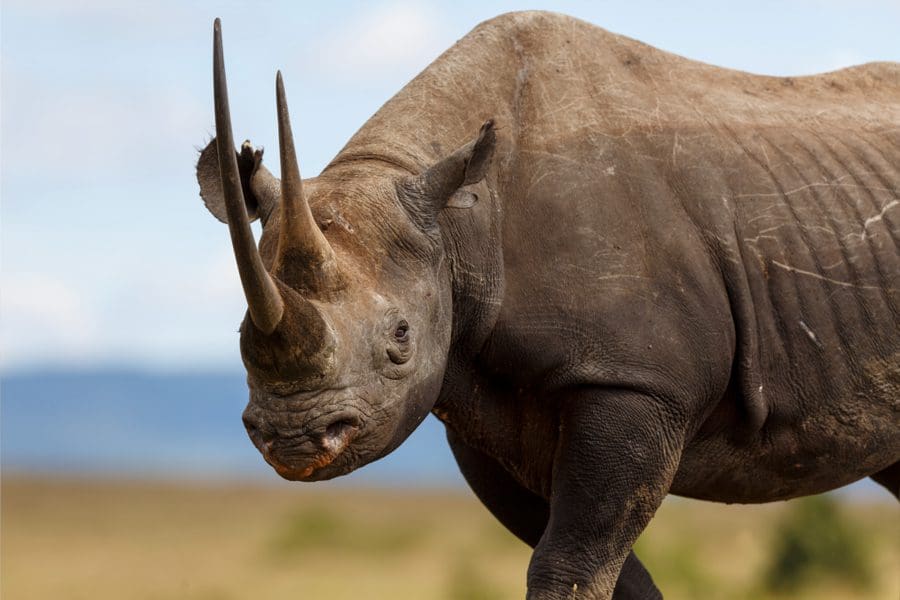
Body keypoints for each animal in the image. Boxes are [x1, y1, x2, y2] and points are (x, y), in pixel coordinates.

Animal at [196, 12, 899, 599]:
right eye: (238, 336)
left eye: (400, 339)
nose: (293, 440)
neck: (457, 224)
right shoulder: (480, 407)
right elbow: (597, 565)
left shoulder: (635, 380)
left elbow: (571, 562)